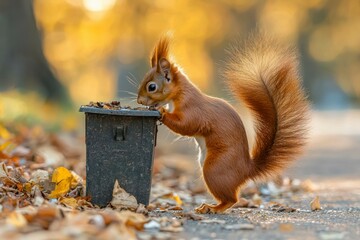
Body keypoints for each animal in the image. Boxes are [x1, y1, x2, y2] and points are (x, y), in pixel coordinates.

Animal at [136, 32, 308, 214]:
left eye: (152, 87)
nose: (139, 101)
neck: (179, 95)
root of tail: (246, 169)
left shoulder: (194, 110)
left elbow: (186, 125)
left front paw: (162, 113)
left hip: (214, 169)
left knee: (232, 199)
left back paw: (213, 208)